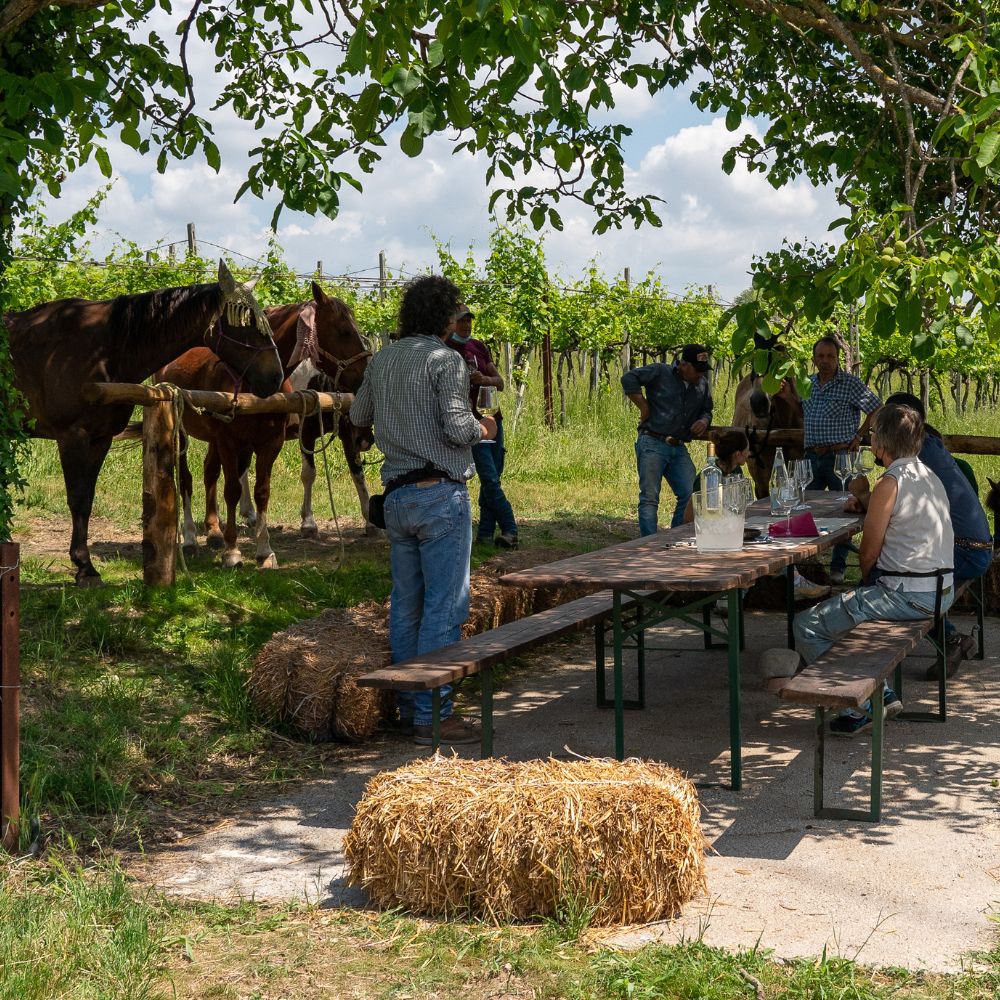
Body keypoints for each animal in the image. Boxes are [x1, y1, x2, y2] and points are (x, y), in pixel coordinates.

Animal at [7, 262, 284, 584]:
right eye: (246, 323)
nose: (275, 378)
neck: (104, 349)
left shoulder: (100, 439)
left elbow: (86, 500)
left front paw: (85, 565)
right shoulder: (72, 436)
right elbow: (76, 498)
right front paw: (84, 567)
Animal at [162, 282, 374, 572]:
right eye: (344, 331)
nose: (365, 376)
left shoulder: (273, 442)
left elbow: (265, 491)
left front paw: (264, 551)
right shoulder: (295, 433)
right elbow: (241, 487)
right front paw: (234, 552)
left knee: (212, 472)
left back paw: (216, 530)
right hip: (185, 435)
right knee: (187, 480)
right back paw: (192, 537)